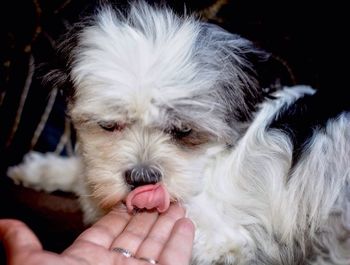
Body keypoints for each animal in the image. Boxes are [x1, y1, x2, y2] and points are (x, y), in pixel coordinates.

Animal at [6, 1, 348, 262]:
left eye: (184, 131)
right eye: (109, 125)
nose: (142, 178)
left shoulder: (229, 238)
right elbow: (84, 173)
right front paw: (41, 170)